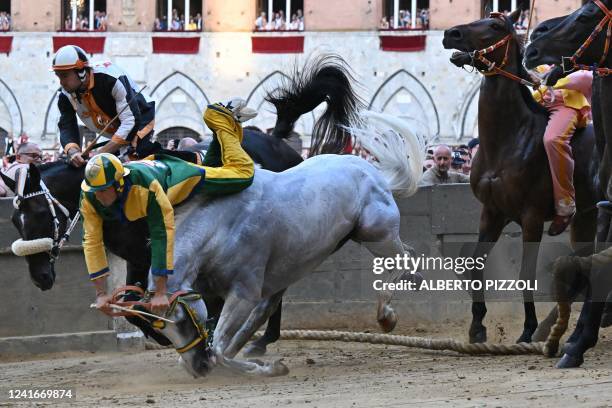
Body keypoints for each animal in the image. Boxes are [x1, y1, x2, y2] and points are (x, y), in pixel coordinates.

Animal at [3, 55, 364, 356]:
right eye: (15, 220)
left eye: (39, 213)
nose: (40, 277)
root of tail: (277, 140)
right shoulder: (138, 256)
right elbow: (133, 304)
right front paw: (165, 333)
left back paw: (260, 339)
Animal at [442, 9, 600, 344]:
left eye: (494, 25)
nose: (451, 34)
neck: (509, 139)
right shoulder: (492, 213)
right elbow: (474, 264)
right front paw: (478, 326)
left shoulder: (531, 217)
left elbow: (526, 273)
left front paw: (527, 328)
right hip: (585, 218)